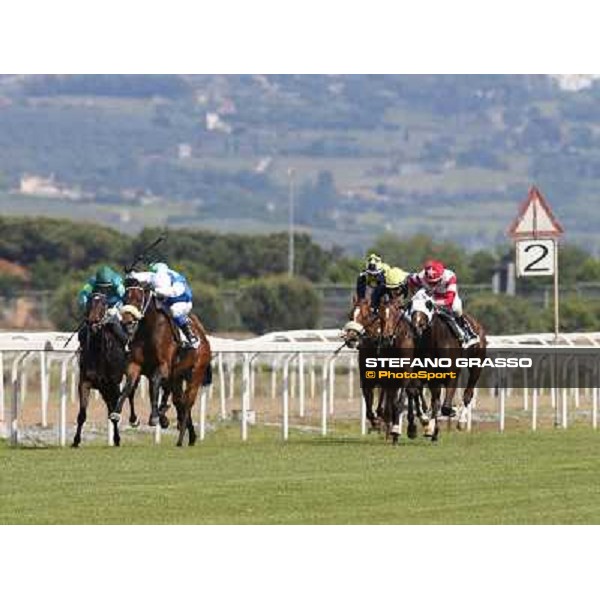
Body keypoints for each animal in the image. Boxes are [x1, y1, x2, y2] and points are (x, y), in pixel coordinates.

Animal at [72, 292, 139, 448]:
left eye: (103, 304)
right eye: (89, 303)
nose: (93, 323)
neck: (98, 351)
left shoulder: (113, 383)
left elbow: (114, 410)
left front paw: (117, 439)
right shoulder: (85, 382)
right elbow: (82, 414)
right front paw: (76, 440)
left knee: (130, 392)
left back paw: (133, 419)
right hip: (104, 388)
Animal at [110, 282, 213, 446]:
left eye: (139, 299)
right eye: (125, 297)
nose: (126, 321)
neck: (148, 330)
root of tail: (203, 338)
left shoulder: (163, 367)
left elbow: (154, 385)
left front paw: (154, 416)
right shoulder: (135, 365)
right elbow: (128, 387)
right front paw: (119, 413)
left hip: (195, 374)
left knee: (187, 403)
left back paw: (181, 438)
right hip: (177, 377)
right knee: (179, 401)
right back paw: (188, 434)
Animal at [408, 288, 488, 442]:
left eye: (428, 304)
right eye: (410, 304)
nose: (417, 326)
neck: (434, 342)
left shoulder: (451, 376)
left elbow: (444, 406)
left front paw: (452, 411)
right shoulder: (427, 374)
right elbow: (421, 395)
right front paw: (427, 425)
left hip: (476, 366)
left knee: (468, 393)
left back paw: (461, 421)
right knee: (435, 400)